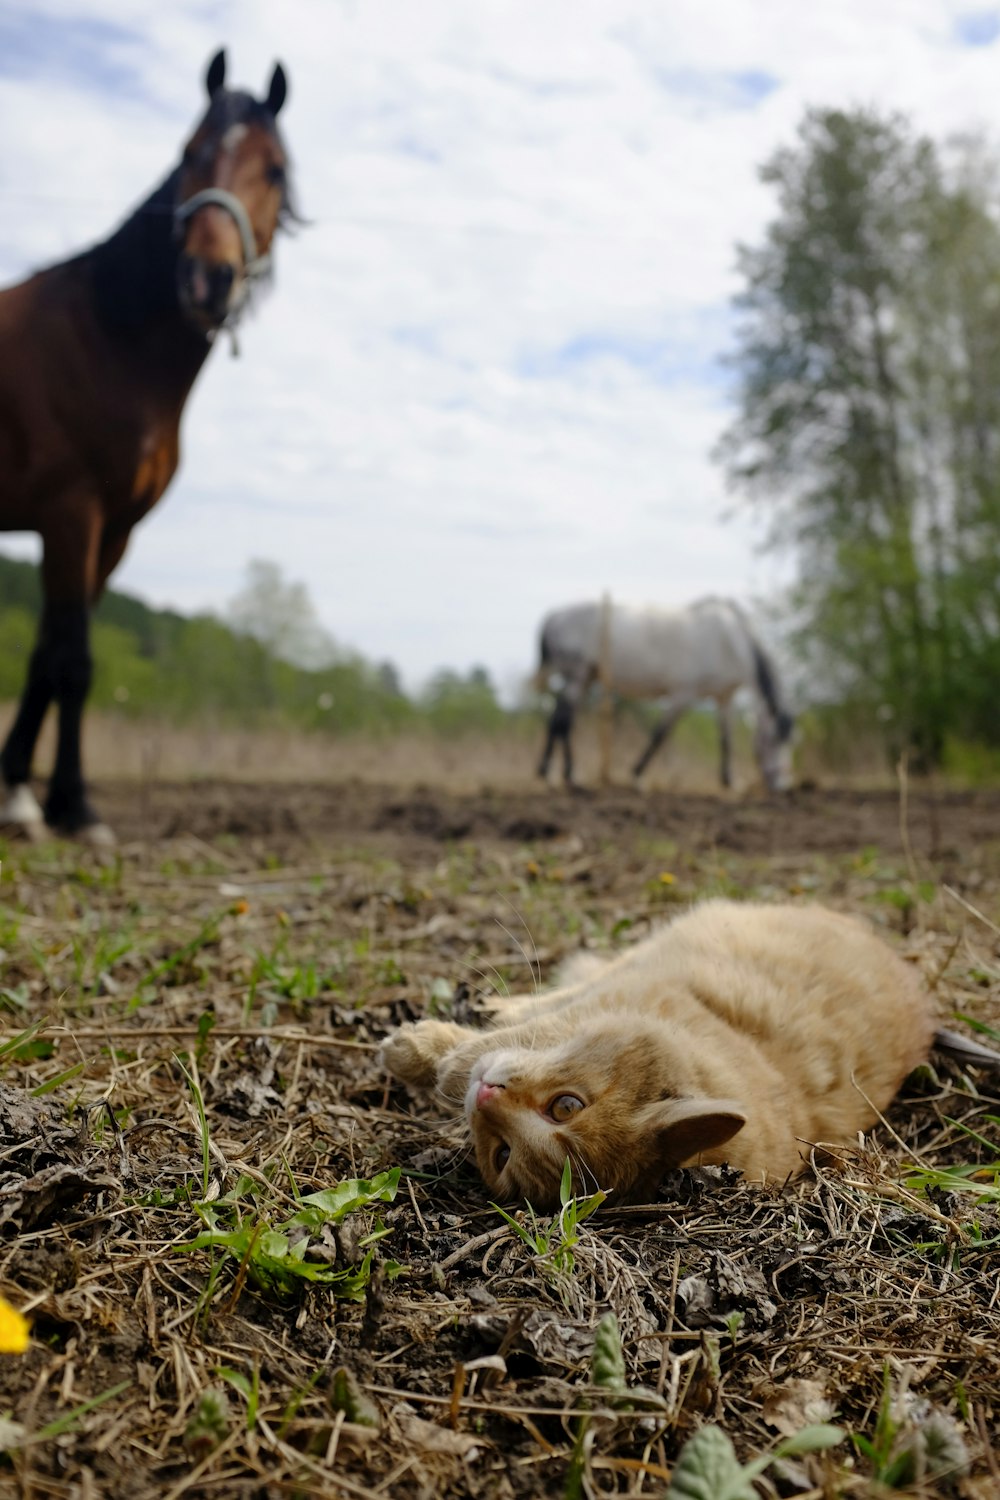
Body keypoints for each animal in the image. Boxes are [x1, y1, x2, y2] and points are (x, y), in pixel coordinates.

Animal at [0, 49, 295, 846]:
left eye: (275, 169)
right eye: (190, 152)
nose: (207, 277)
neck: (107, 336)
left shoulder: (115, 532)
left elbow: (46, 656)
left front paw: (22, 793)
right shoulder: (72, 514)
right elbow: (73, 661)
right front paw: (73, 807)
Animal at [380, 900, 941, 1206]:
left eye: (502, 1155)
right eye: (568, 1105)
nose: (487, 1095)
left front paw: (427, 1058)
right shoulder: (625, 991)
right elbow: (525, 1026)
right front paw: (418, 1050)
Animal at [536, 594, 791, 792]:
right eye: (772, 740)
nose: (781, 786)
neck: (729, 639)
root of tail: (554, 617)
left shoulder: (724, 698)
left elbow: (726, 738)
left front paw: (730, 781)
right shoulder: (682, 695)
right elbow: (659, 734)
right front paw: (637, 776)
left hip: (586, 678)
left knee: (557, 719)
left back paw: (549, 774)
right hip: (577, 677)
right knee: (563, 721)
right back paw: (568, 776)